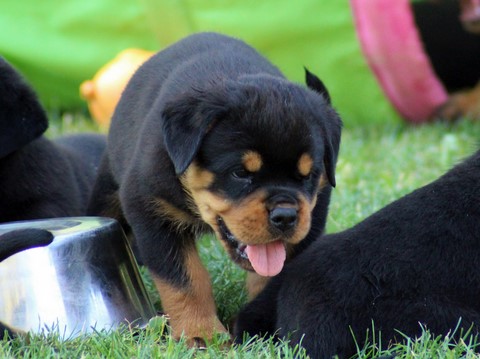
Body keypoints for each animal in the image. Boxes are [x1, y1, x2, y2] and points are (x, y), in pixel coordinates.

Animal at [88, 32, 344, 344]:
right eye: (240, 173)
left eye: (308, 176)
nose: (285, 216)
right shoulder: (150, 207)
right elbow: (185, 279)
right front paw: (201, 334)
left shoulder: (311, 221)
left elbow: (274, 276)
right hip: (108, 191)